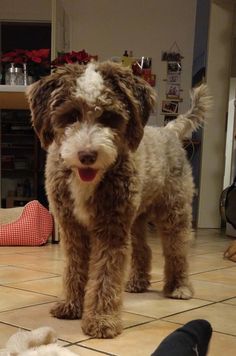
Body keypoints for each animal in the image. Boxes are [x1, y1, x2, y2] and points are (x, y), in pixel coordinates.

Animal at [26, 62, 210, 340]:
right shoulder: (72, 228)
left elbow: (106, 274)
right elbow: (74, 268)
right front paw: (71, 305)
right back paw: (137, 282)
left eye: (109, 117)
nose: (87, 155)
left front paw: (101, 320)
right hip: (135, 220)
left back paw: (179, 287)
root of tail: (168, 130)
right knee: (143, 250)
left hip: (173, 212)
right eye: (70, 115)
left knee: (176, 250)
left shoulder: (110, 230)